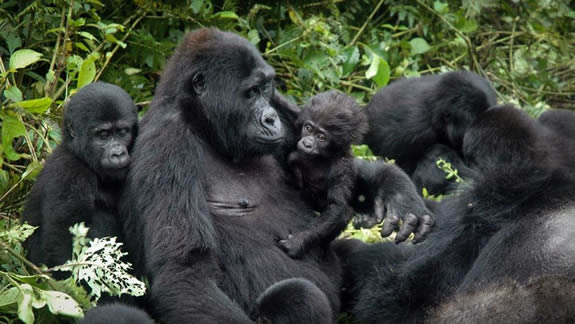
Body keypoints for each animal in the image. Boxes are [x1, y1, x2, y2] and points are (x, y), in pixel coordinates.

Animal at [21, 81, 140, 270]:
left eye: (122, 132)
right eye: (103, 135)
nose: (118, 154)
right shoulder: (69, 173)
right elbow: (64, 238)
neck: (80, 156)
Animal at [280, 91, 366, 258]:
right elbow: (292, 111)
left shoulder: (342, 166)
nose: (307, 143)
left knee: (344, 213)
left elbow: (336, 207)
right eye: (308, 128)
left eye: (321, 137)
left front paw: (298, 241)